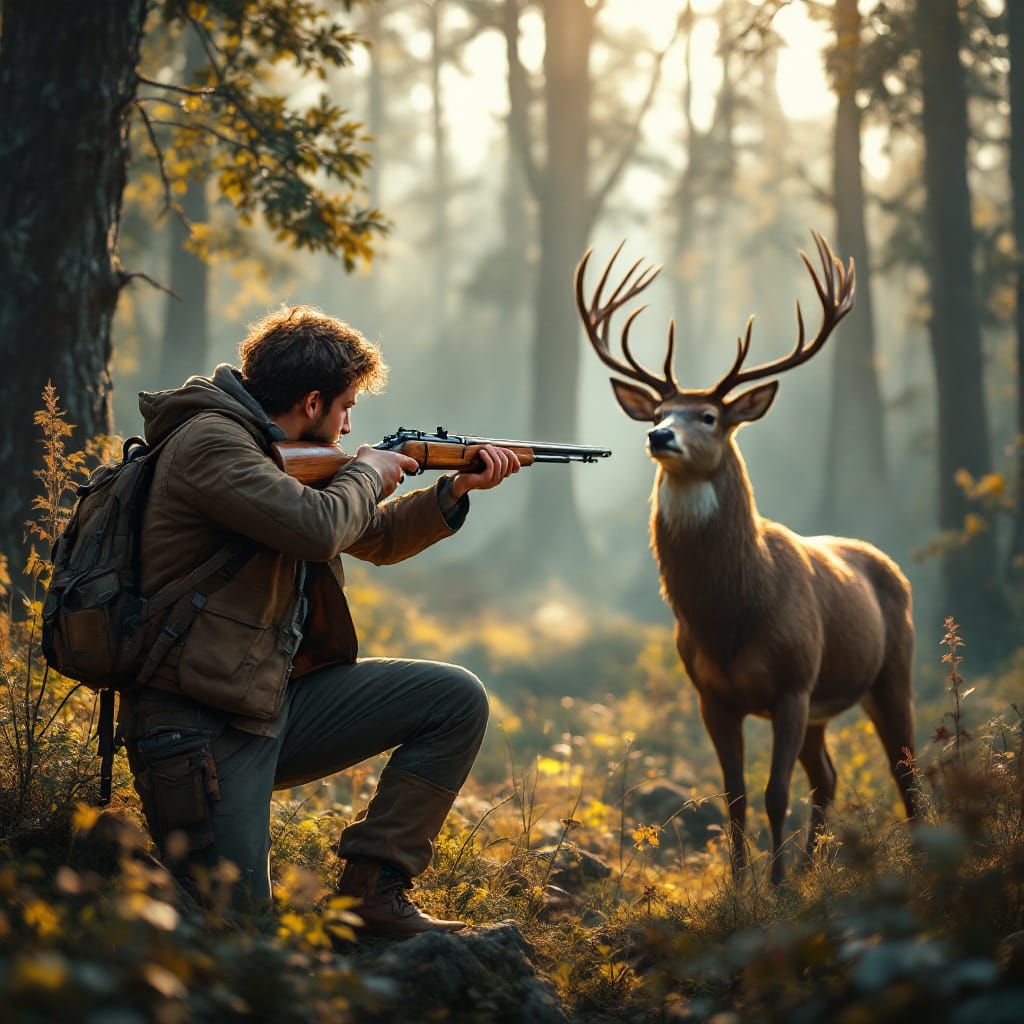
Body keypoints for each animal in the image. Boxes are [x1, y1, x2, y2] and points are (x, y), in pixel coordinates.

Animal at [576, 232, 918, 884]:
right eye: (658, 412)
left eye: (709, 416)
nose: (659, 437)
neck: (734, 615)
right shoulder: (712, 694)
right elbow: (734, 794)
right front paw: (740, 884)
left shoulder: (793, 681)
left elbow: (772, 793)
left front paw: (775, 889)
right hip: (824, 708)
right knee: (829, 776)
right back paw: (811, 869)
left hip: (892, 671)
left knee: (904, 770)